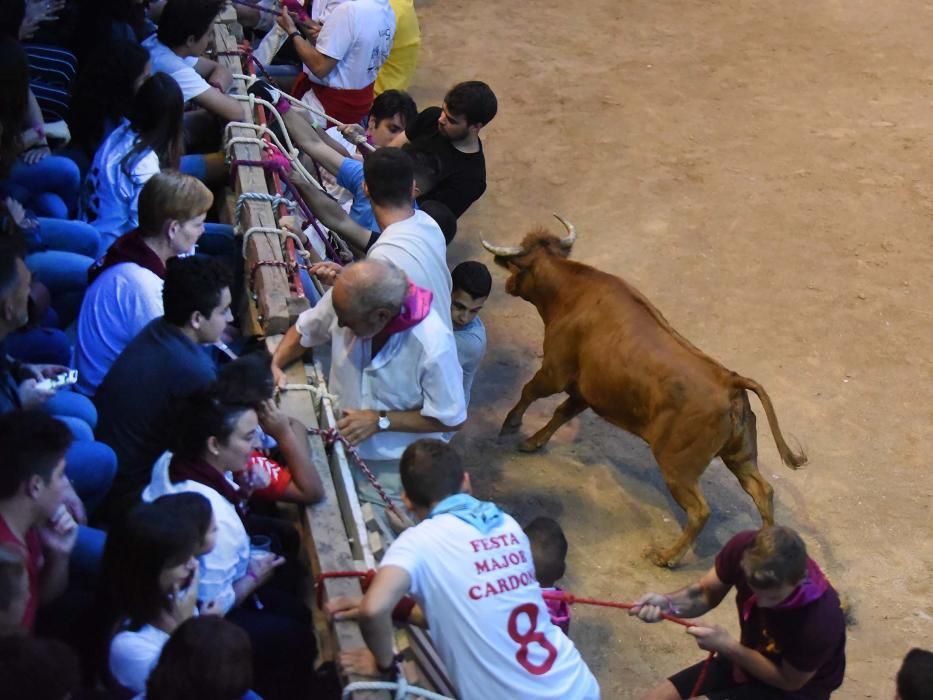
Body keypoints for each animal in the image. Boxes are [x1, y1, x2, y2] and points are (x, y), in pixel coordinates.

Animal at [484, 217, 804, 568]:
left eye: (518, 267)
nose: (507, 284)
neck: (572, 292)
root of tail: (729, 380)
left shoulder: (555, 371)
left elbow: (530, 391)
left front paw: (511, 425)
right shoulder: (585, 391)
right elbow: (560, 414)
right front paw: (532, 442)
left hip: (678, 466)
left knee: (700, 511)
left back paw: (667, 556)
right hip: (740, 454)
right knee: (762, 491)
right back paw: (767, 547)